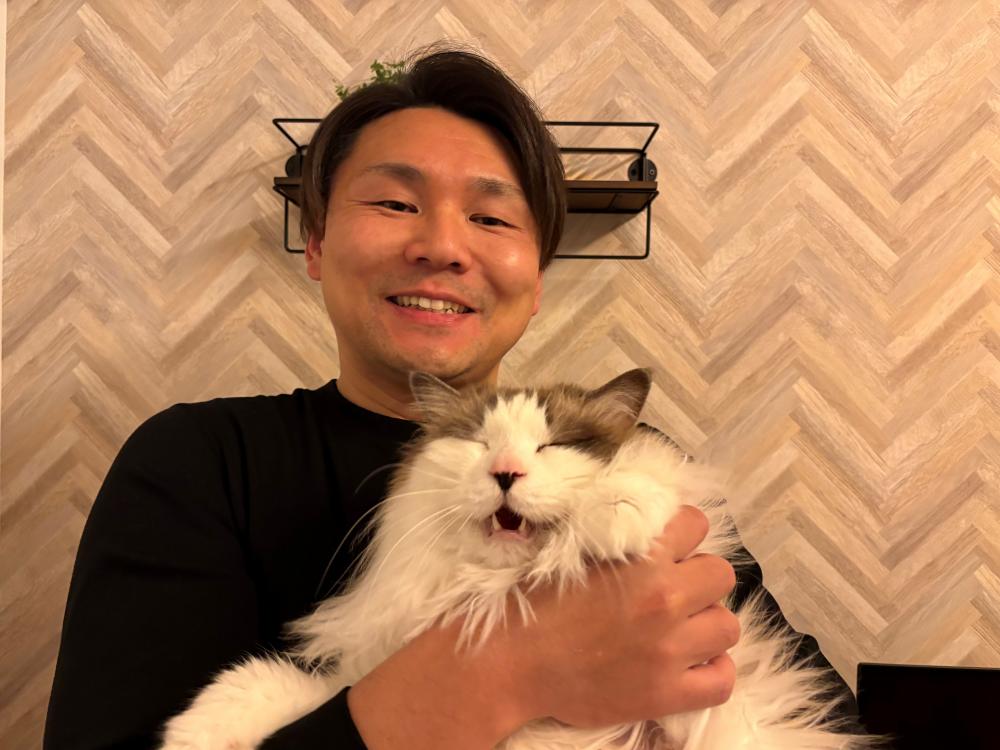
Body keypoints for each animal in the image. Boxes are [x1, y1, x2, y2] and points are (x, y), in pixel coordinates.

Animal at [160, 368, 879, 749]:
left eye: (553, 445)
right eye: (477, 442)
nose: (505, 472)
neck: (496, 584)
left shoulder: (699, 718)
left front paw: (615, 517)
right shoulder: (363, 677)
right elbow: (262, 684)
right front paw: (190, 736)